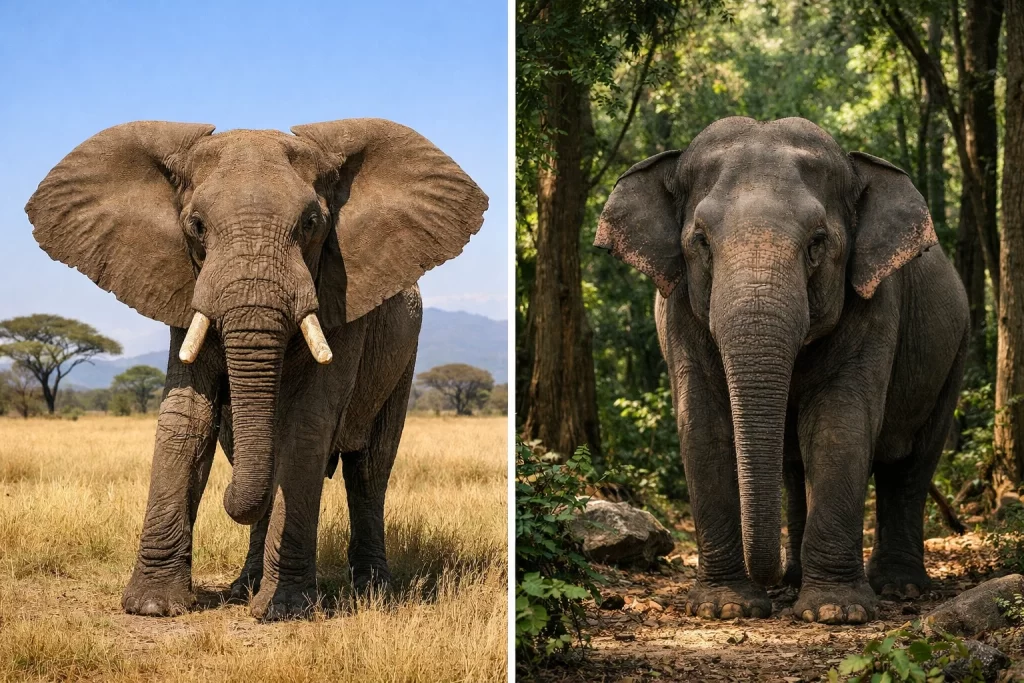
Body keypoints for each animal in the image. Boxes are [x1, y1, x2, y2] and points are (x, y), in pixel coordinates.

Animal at [25, 119, 487, 620]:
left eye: (311, 224)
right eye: (196, 226)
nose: (226, 501)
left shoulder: (344, 298)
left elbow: (306, 424)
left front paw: (284, 610)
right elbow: (186, 418)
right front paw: (153, 606)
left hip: (403, 358)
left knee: (368, 469)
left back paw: (372, 590)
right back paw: (242, 588)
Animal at [595, 117, 968, 625]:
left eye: (817, 242)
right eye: (701, 241)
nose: (765, 581)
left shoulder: (876, 306)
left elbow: (838, 427)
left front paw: (836, 611)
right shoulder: (677, 315)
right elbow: (703, 428)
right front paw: (726, 608)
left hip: (955, 353)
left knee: (911, 464)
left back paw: (900, 587)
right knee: (794, 469)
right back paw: (796, 579)